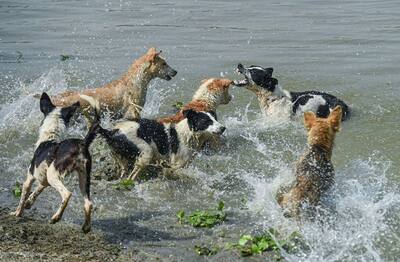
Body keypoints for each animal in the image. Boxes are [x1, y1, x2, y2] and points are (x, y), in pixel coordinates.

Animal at [12, 92, 100, 233]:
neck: (50, 137)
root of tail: (82, 142)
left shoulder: (30, 177)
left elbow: (23, 196)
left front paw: (17, 213)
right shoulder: (44, 180)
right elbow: (36, 191)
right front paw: (29, 203)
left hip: (54, 175)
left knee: (67, 194)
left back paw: (56, 217)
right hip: (84, 178)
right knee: (88, 203)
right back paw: (86, 227)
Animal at [95, 107, 227, 181]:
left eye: (215, 119)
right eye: (206, 121)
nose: (223, 128)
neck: (187, 134)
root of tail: (112, 131)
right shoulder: (176, 164)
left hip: (120, 158)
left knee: (124, 174)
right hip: (146, 152)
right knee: (131, 177)